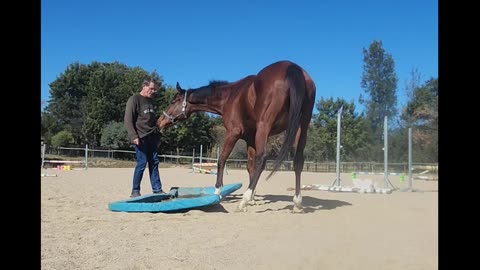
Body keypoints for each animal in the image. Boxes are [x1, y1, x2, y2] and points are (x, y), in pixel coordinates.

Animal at [158, 60, 316, 211]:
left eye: (173, 101)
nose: (160, 121)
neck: (229, 96)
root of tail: (292, 67)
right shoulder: (250, 139)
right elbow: (250, 166)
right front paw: (253, 198)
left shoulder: (233, 133)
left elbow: (222, 160)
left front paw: (218, 191)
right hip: (301, 128)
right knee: (298, 161)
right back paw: (297, 202)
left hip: (265, 126)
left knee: (262, 159)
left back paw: (243, 201)